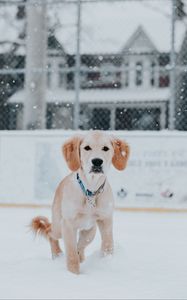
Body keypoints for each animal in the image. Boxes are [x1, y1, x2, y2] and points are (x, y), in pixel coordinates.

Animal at [31, 130, 130, 274]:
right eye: (87, 148)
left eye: (105, 148)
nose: (97, 161)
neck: (90, 192)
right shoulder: (68, 224)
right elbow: (71, 252)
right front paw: (74, 274)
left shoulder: (105, 219)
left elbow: (107, 244)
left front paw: (106, 261)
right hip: (58, 225)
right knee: (50, 233)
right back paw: (57, 254)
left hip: (90, 229)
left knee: (82, 243)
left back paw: (80, 256)